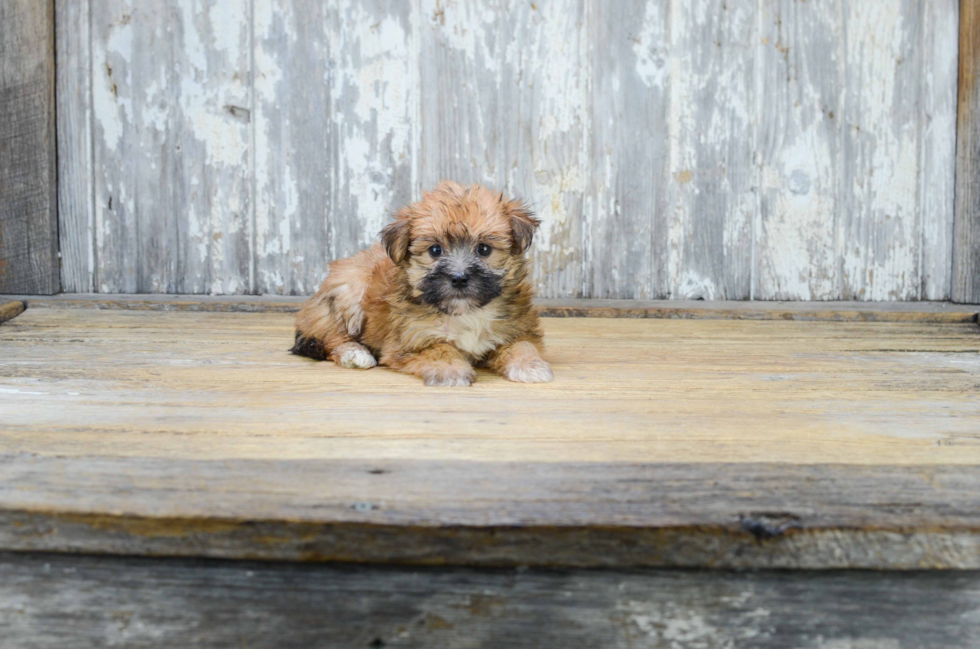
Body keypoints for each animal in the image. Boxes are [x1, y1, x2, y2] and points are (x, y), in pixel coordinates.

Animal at [290, 180, 552, 384]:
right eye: (435, 250)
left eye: (484, 249)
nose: (459, 278)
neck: (465, 312)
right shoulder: (409, 341)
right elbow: (439, 348)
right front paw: (451, 370)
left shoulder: (518, 329)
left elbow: (522, 345)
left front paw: (531, 365)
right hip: (349, 292)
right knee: (333, 337)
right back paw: (355, 354)